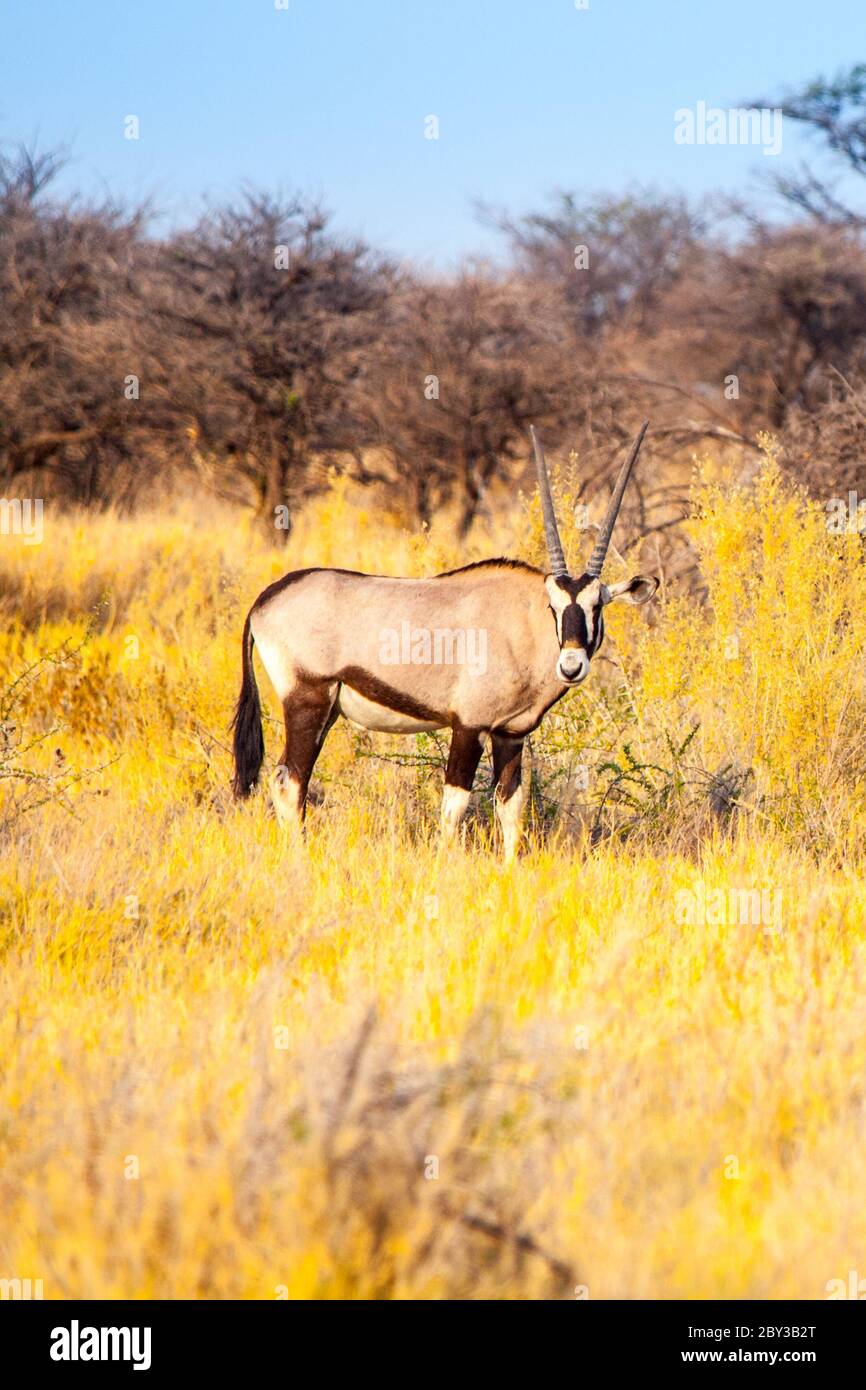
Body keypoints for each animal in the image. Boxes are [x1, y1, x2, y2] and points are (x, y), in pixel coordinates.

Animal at [232, 423, 658, 858]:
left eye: (597, 606)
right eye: (553, 607)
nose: (571, 665)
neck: (521, 626)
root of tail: (266, 599)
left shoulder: (511, 734)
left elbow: (510, 806)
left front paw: (510, 866)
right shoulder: (468, 726)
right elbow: (455, 804)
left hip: (328, 709)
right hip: (308, 700)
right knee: (290, 781)